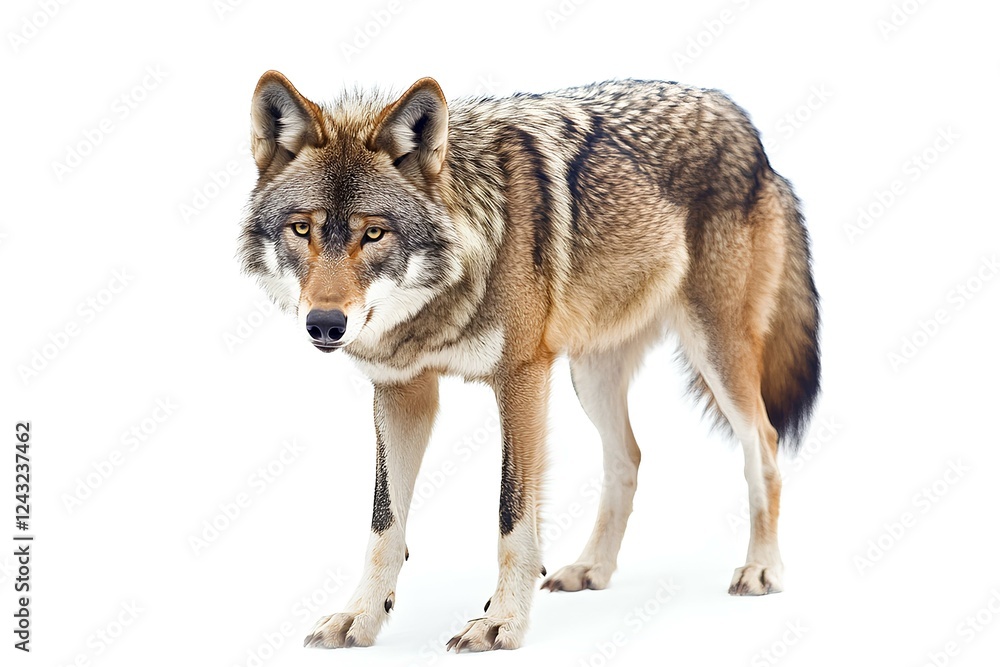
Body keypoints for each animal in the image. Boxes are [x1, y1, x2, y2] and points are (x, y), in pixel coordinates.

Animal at [239, 71, 820, 652]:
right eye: (302, 229)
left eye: (374, 232)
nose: (324, 324)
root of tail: (744, 123)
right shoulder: (402, 390)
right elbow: (385, 522)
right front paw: (360, 615)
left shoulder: (522, 378)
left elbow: (512, 516)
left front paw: (502, 621)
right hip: (591, 375)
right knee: (628, 457)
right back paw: (592, 568)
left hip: (716, 352)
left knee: (763, 444)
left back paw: (762, 568)